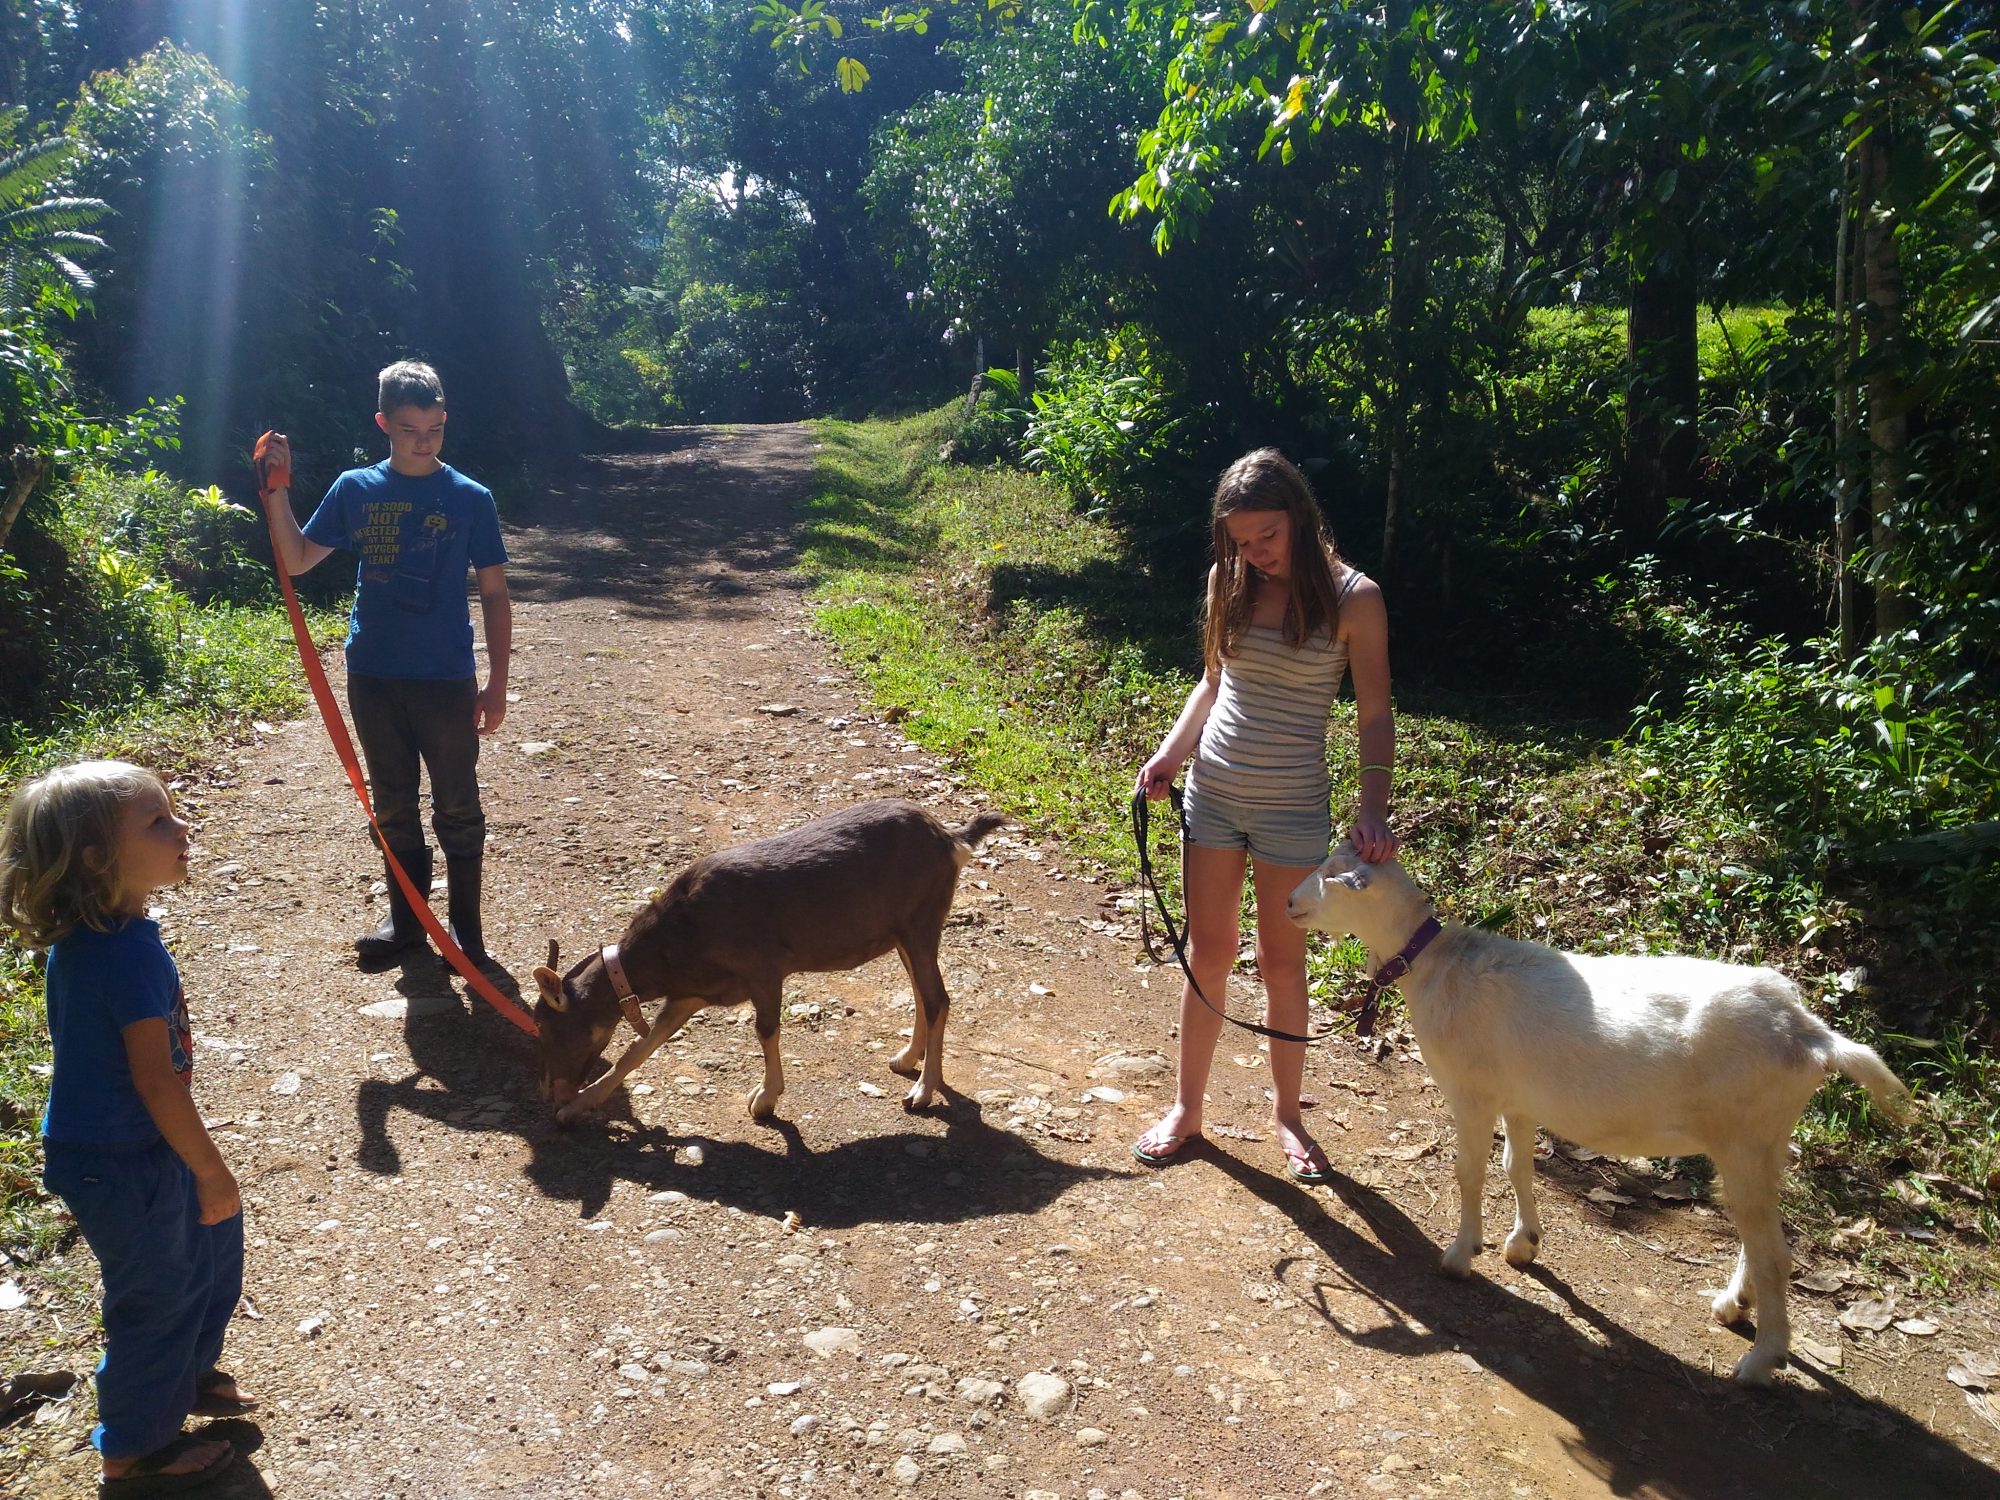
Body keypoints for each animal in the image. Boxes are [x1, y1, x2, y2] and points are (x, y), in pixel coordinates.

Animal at [532, 804, 1008, 1120]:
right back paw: (906, 1060)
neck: (682, 931)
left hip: (921, 921)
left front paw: (764, 1099)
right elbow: (640, 1047)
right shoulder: (692, 992)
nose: (550, 1093)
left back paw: (923, 1091)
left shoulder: (763, 970)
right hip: (901, 934)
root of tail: (951, 840)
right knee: (922, 994)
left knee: (937, 998)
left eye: (548, 1027)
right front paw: (580, 1106)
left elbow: (765, 1030)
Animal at [1288, 840, 1912, 1392]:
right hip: (1763, 1141)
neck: (1438, 965)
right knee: (1758, 1234)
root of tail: (1811, 1035)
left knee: (1776, 1254)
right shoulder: (1518, 1100)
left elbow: (1470, 1172)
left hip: (1746, 1136)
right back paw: (1734, 1305)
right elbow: (1518, 1167)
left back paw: (1761, 1362)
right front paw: (1523, 1245)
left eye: (1330, 873)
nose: (1291, 902)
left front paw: (1461, 1256)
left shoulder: (1471, 1094)